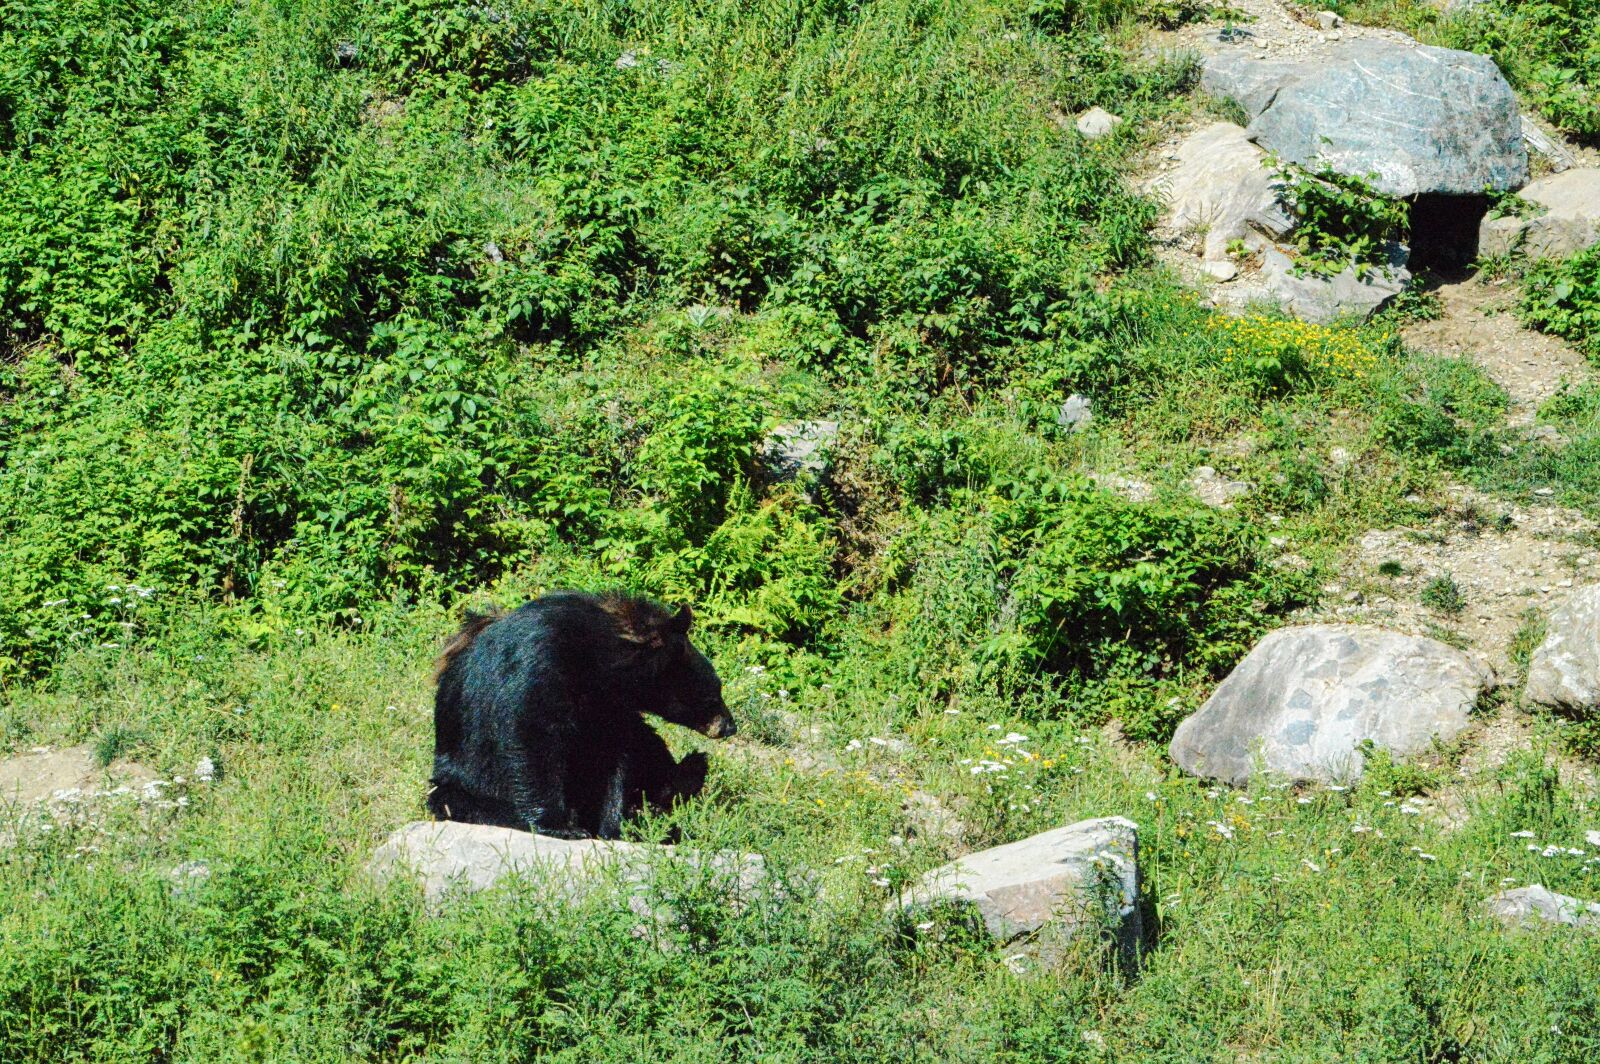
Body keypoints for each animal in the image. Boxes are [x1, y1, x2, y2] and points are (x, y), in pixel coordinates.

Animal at [426, 590, 735, 838]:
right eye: (714, 693)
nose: (730, 726)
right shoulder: (539, 665)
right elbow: (532, 740)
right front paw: (561, 826)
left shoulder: (608, 707)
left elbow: (612, 756)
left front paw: (612, 826)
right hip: (461, 788)